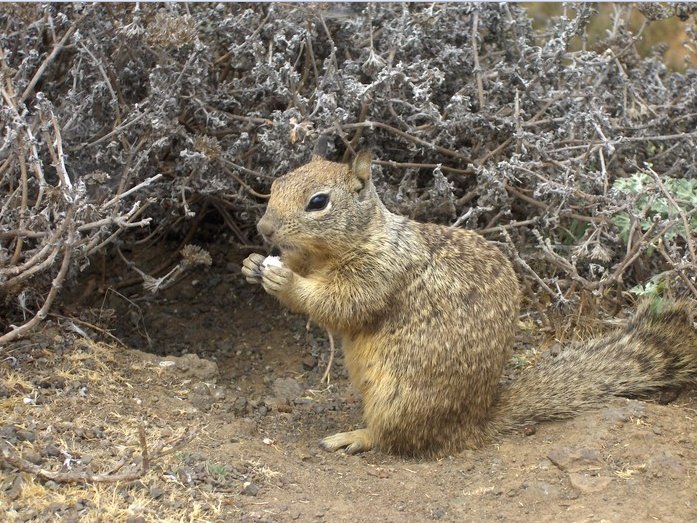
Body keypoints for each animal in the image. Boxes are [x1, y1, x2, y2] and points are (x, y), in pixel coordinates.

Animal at [242, 148, 696, 458]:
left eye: (318, 202)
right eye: (277, 184)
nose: (264, 228)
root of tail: (474, 423)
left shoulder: (379, 273)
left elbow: (341, 306)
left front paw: (284, 279)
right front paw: (252, 265)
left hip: (398, 398)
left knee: (395, 439)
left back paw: (354, 437)